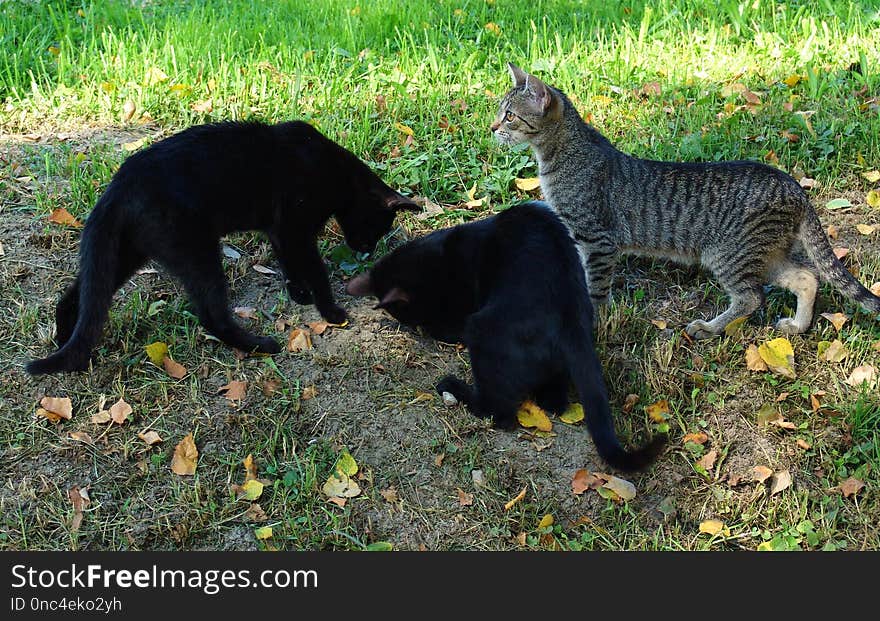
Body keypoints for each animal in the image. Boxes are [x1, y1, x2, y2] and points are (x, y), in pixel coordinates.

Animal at [24, 119, 416, 376]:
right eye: (378, 228)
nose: (366, 250)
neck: (336, 173)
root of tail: (117, 187)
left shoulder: (280, 231)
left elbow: (288, 263)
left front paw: (299, 293)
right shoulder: (295, 227)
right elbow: (314, 269)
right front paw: (331, 310)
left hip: (125, 252)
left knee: (78, 296)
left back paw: (68, 345)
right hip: (196, 251)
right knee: (211, 315)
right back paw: (259, 345)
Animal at [348, 202, 664, 470]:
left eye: (413, 315)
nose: (422, 328)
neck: (437, 259)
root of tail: (569, 314)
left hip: (482, 331)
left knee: (499, 412)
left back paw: (454, 389)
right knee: (554, 400)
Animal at [496, 61, 880, 340]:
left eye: (510, 115)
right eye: (500, 112)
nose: (491, 127)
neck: (560, 154)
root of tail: (792, 185)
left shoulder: (597, 239)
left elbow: (597, 289)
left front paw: (591, 321)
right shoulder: (579, 238)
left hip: (728, 253)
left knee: (752, 297)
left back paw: (709, 328)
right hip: (765, 254)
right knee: (807, 277)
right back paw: (798, 326)